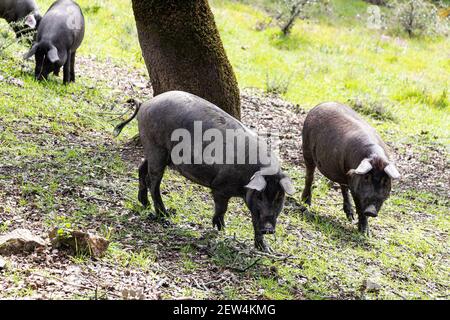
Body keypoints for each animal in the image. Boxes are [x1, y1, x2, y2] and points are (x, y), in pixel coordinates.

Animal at [300, 102, 400, 235]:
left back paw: (350, 217)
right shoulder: (356, 189)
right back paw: (306, 203)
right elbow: (360, 207)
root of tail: (321, 104)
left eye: (385, 180)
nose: (371, 211)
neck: (375, 157)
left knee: (343, 187)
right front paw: (365, 233)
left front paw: (365, 232)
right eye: (366, 177)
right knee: (309, 176)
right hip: (306, 149)